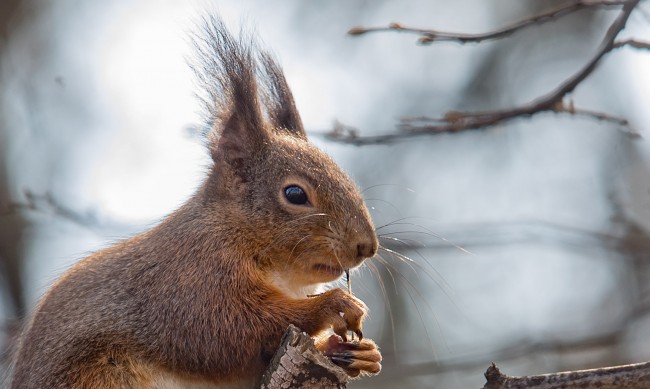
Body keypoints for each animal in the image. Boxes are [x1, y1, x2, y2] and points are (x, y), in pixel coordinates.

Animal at [8, 13, 380, 386]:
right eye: (295, 194)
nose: (367, 246)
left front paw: (361, 354)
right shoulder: (191, 279)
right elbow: (229, 328)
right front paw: (333, 304)